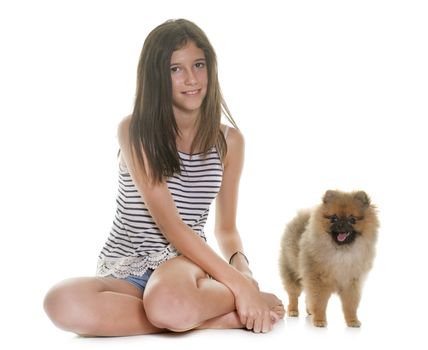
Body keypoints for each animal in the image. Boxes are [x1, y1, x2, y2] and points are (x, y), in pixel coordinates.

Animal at [280, 190, 380, 326]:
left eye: (352, 220)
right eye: (334, 218)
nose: (341, 224)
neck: (341, 252)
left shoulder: (351, 282)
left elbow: (351, 305)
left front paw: (352, 320)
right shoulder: (318, 280)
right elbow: (319, 302)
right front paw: (319, 320)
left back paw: (309, 311)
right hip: (291, 271)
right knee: (293, 294)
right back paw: (293, 310)